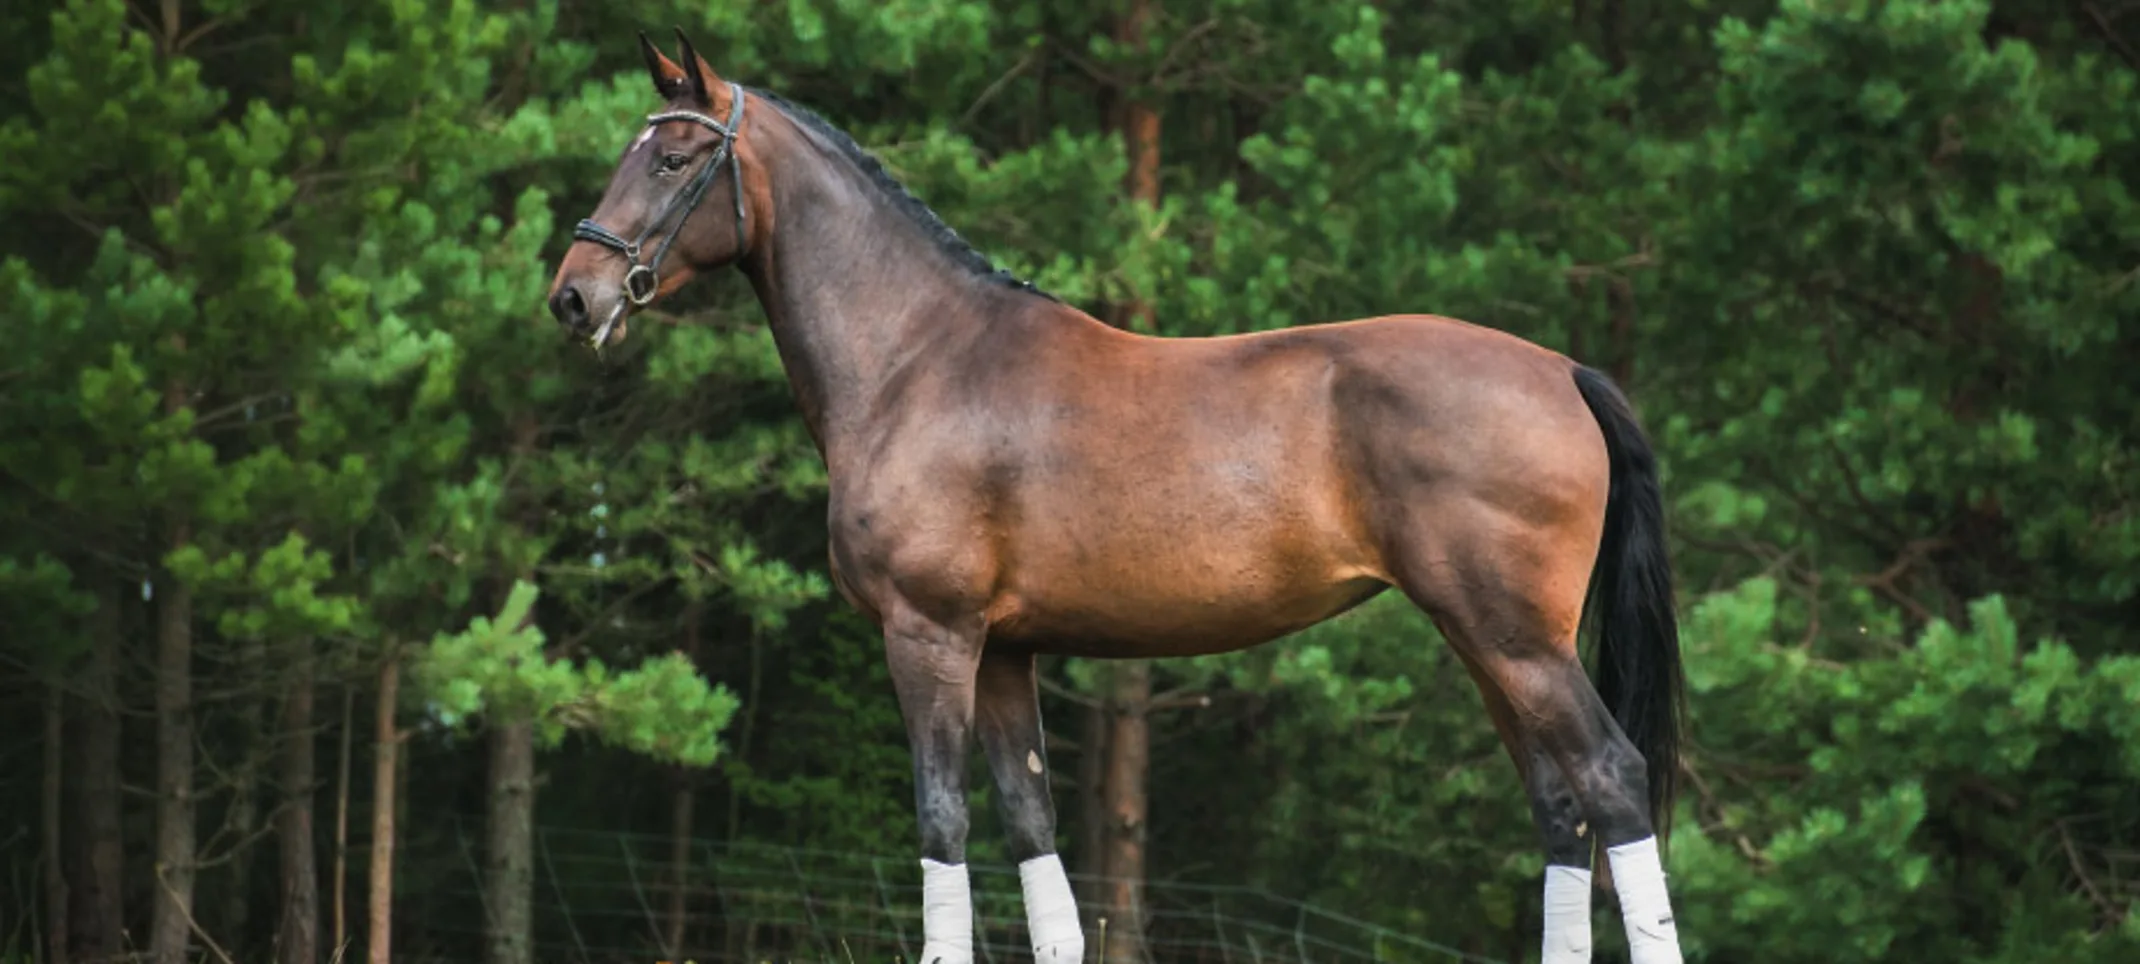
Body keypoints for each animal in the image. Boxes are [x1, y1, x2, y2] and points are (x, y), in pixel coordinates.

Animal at [546, 30, 1688, 964]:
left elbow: (941, 822)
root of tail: (1562, 371)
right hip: (1485, 641)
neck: (919, 359)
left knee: (1611, 780)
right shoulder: (1005, 653)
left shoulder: (929, 634)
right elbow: (1032, 836)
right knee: (1559, 806)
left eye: (674, 156)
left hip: (1514, 639)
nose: (573, 296)